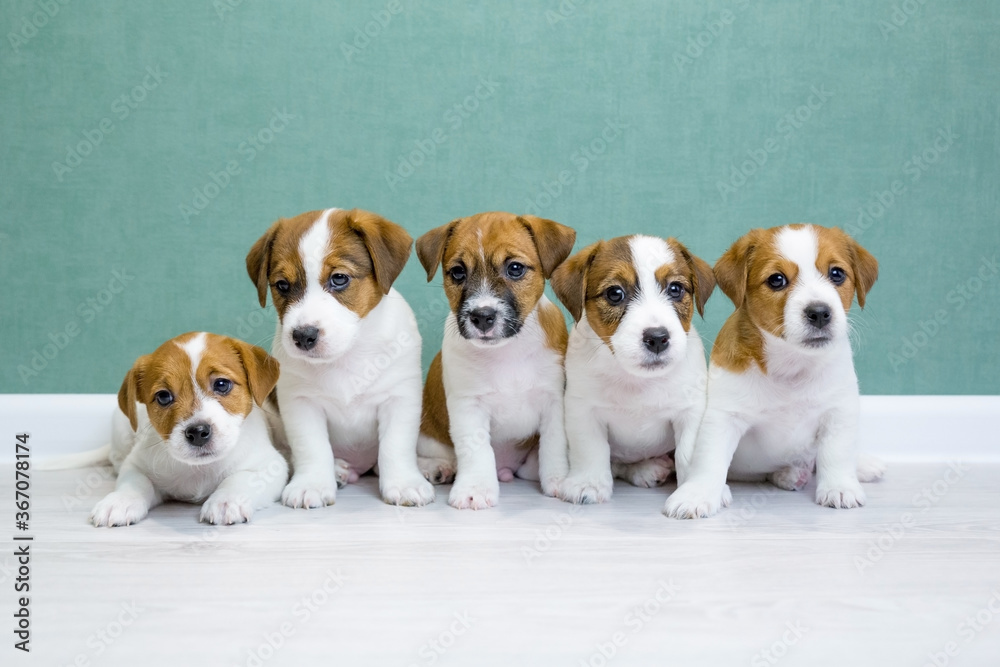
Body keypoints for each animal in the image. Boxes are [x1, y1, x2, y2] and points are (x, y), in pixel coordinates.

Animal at [90, 332, 288, 528]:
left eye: (222, 384)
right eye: (163, 396)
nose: (198, 432)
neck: (199, 469)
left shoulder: (270, 465)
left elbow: (239, 479)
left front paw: (226, 500)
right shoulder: (135, 464)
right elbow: (135, 483)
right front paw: (120, 501)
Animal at [246, 206, 434, 508]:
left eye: (339, 278)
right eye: (282, 285)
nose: (303, 336)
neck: (347, 354)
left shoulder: (399, 398)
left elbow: (396, 446)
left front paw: (405, 483)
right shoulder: (300, 403)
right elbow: (312, 448)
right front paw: (312, 483)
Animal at [416, 211, 580, 508]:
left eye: (515, 268)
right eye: (458, 272)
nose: (482, 316)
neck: (507, 352)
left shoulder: (554, 402)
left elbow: (555, 445)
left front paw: (559, 480)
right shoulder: (468, 406)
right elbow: (477, 451)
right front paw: (475, 488)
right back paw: (434, 468)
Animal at [548, 237, 720, 504]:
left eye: (675, 289)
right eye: (615, 293)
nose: (657, 338)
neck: (637, 381)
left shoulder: (690, 412)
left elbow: (687, 454)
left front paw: (694, 491)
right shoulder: (582, 410)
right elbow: (590, 450)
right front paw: (589, 483)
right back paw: (646, 469)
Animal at [664, 222, 884, 520]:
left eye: (837, 274)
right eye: (776, 280)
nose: (819, 312)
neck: (792, 365)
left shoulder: (839, 411)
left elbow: (837, 453)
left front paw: (840, 487)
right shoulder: (723, 418)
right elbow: (709, 460)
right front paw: (697, 494)